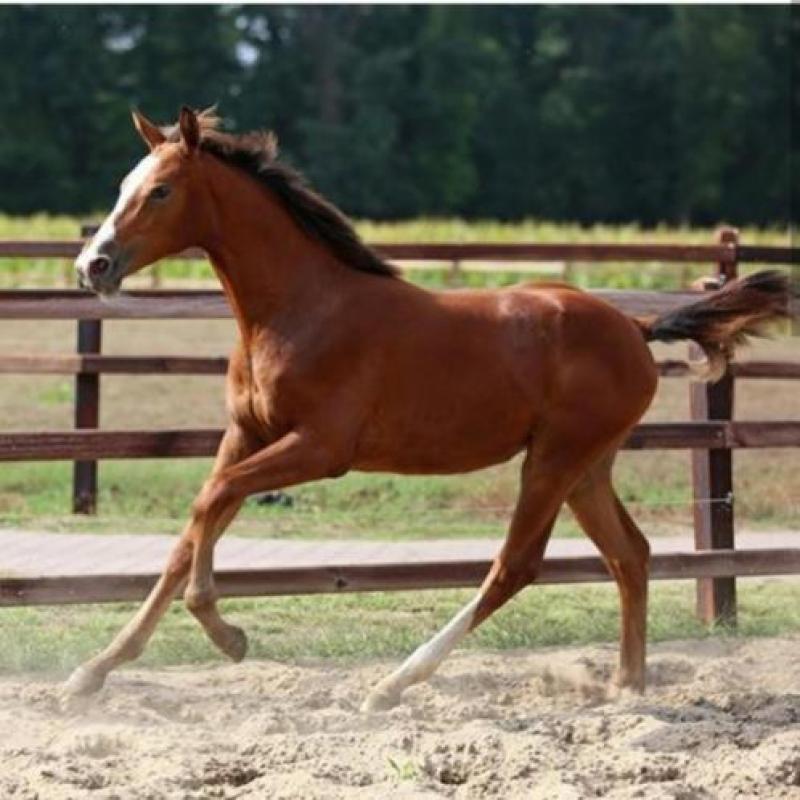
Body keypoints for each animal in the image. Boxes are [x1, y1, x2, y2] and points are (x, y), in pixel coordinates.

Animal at [72, 108, 792, 712]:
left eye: (161, 191)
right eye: (124, 184)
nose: (92, 265)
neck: (299, 309)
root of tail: (635, 328)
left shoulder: (319, 449)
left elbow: (209, 502)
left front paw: (227, 634)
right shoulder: (246, 435)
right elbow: (192, 530)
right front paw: (93, 671)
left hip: (554, 458)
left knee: (515, 566)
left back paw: (393, 685)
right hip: (589, 465)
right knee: (631, 554)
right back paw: (625, 687)